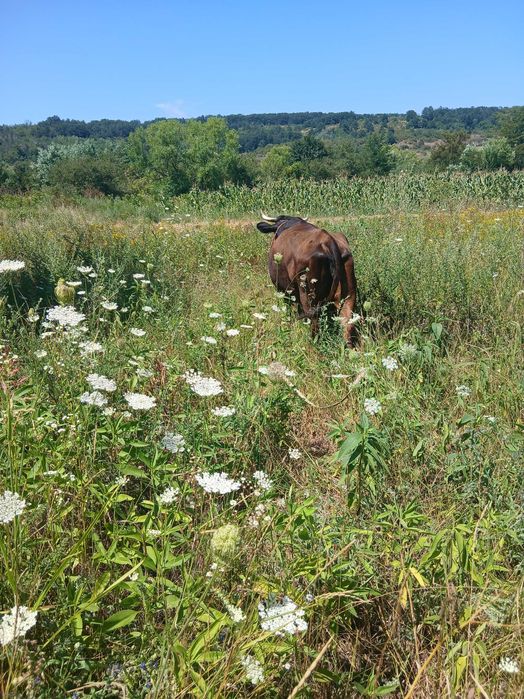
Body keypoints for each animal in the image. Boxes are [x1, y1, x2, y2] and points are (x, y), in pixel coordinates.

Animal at [256, 215, 358, 344]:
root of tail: (328, 240)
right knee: (347, 323)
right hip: (349, 293)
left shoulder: (284, 290)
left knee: (314, 322)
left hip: (308, 294)